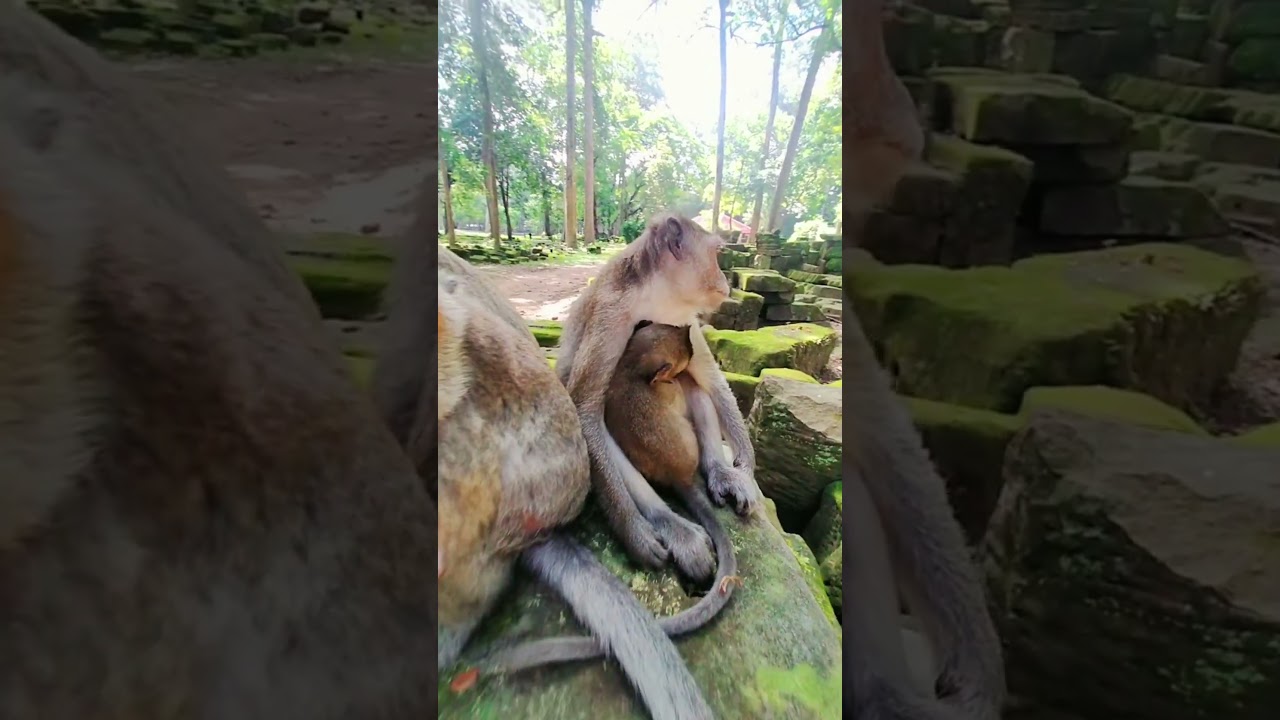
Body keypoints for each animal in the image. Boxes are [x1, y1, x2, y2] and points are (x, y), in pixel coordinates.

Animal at [553, 212, 763, 590]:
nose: (725, 280)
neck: (656, 294)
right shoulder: (611, 314)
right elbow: (585, 409)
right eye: (716, 253)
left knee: (692, 383)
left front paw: (745, 470)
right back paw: (668, 522)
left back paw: (716, 470)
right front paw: (633, 532)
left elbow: (710, 378)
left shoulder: (683, 319)